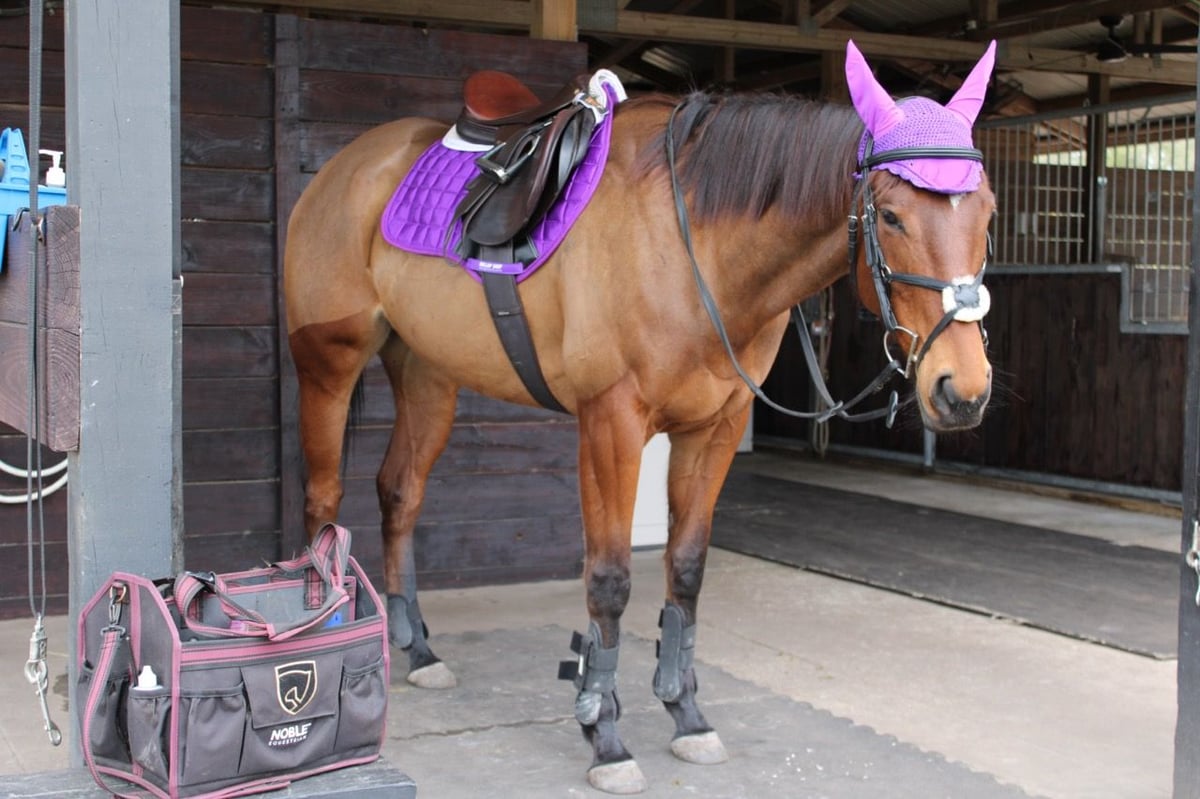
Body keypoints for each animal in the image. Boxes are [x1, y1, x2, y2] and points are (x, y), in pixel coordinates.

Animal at [283, 40, 997, 794]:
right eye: (890, 216)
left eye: (987, 213)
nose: (962, 390)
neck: (696, 247)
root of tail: (347, 165)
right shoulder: (611, 425)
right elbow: (610, 579)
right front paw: (605, 733)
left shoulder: (713, 429)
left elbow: (686, 570)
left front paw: (686, 714)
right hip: (328, 363)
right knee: (323, 501)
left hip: (427, 373)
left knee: (400, 492)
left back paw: (418, 650)